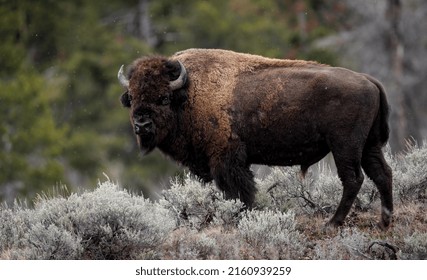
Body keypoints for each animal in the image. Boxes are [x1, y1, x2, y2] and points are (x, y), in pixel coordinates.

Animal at [118, 49, 392, 229]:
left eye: (163, 98)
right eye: (132, 97)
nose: (141, 125)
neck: (189, 93)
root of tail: (369, 80)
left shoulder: (226, 161)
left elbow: (239, 192)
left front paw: (240, 218)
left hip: (345, 146)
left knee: (353, 179)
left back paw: (333, 223)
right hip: (369, 146)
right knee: (382, 174)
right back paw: (384, 222)